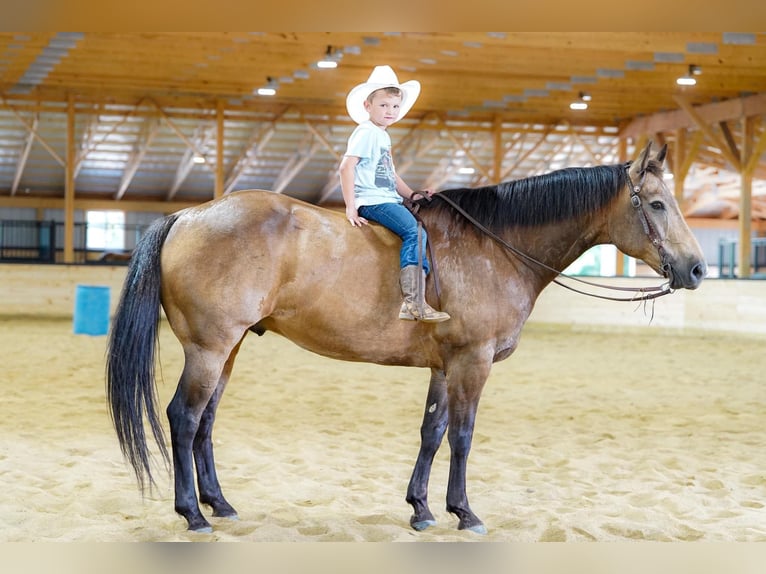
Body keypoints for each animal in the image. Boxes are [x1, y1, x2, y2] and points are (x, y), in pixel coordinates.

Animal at [106, 142, 706, 534]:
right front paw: (464, 512)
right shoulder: (472, 362)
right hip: (209, 350)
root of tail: (187, 215)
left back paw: (220, 505)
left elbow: (431, 432)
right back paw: (192, 513)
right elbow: (462, 436)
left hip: (227, 351)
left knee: (205, 422)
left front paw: (421, 508)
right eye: (657, 204)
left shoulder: (445, 365)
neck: (495, 245)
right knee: (184, 418)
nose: (697, 269)